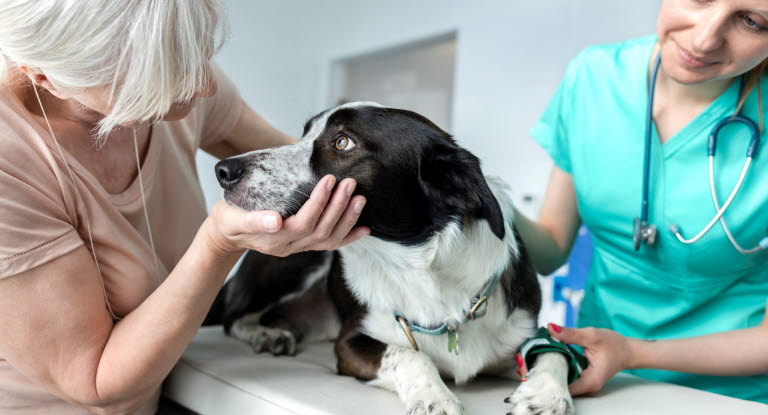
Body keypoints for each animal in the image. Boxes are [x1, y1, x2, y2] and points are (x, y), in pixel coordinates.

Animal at [206, 103, 576, 415]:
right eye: (305, 134)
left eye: (343, 142)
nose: (223, 170)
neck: (420, 272)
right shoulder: (349, 344)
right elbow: (409, 354)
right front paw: (434, 396)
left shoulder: (524, 334)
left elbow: (555, 348)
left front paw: (547, 393)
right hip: (299, 261)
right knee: (232, 318)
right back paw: (266, 334)